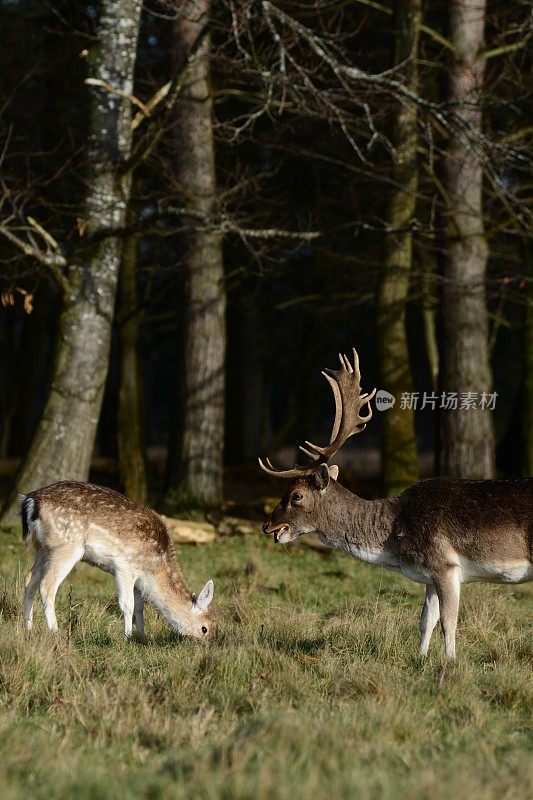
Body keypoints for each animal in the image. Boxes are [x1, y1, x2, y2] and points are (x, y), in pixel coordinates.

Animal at [19, 482, 214, 636]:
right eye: (205, 628)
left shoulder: (139, 579)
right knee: (47, 585)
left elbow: (140, 607)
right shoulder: (125, 568)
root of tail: (31, 501)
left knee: (29, 579)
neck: (153, 569)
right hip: (66, 545)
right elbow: (127, 605)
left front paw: (142, 636)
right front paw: (127, 636)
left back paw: (27, 627)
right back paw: (55, 631)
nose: (205, 644)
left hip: (44, 548)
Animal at [260, 348, 528, 656]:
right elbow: (426, 621)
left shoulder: (446, 565)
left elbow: (448, 623)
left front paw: (449, 663)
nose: (267, 525)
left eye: (296, 495)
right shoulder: (428, 575)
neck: (395, 542)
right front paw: (421, 659)